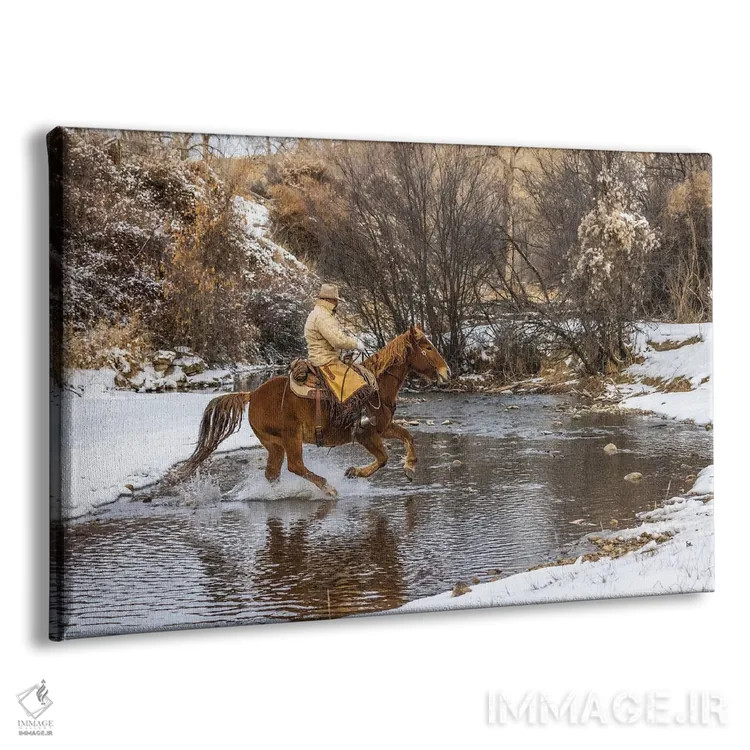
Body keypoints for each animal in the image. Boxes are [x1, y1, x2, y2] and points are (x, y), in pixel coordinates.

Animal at [178, 326, 451, 496]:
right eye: (427, 347)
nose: (446, 372)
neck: (377, 386)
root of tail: (252, 394)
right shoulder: (366, 433)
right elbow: (383, 458)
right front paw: (353, 473)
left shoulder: (382, 428)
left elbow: (407, 436)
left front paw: (410, 467)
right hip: (291, 436)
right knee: (295, 466)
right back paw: (328, 488)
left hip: (274, 444)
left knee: (274, 473)